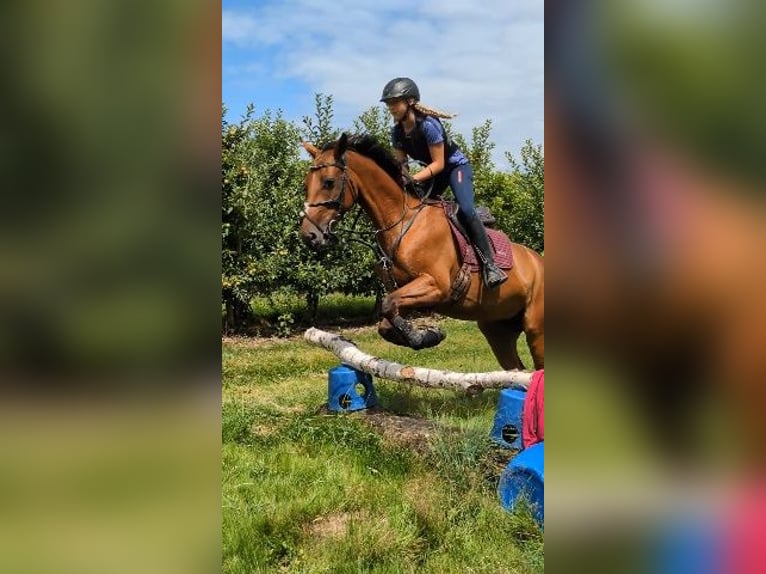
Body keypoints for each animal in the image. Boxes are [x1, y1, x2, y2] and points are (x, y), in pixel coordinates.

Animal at [299, 133, 544, 371]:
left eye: (329, 182)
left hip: (535, 330)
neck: (402, 223)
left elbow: (387, 305)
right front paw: (426, 336)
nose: (309, 235)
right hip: (496, 328)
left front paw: (424, 336)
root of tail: (539, 261)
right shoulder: (403, 291)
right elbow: (386, 318)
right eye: (305, 184)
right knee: (516, 369)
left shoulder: (435, 285)